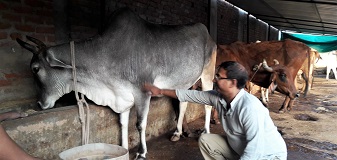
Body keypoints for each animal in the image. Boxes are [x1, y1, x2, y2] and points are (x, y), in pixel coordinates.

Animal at [15, 7, 215, 160]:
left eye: (35, 69)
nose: (40, 103)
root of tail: (207, 32)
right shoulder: (121, 95)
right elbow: (123, 124)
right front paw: (124, 149)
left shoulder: (143, 92)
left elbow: (140, 124)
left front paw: (141, 153)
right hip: (185, 82)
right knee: (183, 103)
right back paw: (177, 133)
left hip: (208, 74)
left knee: (207, 104)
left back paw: (205, 131)